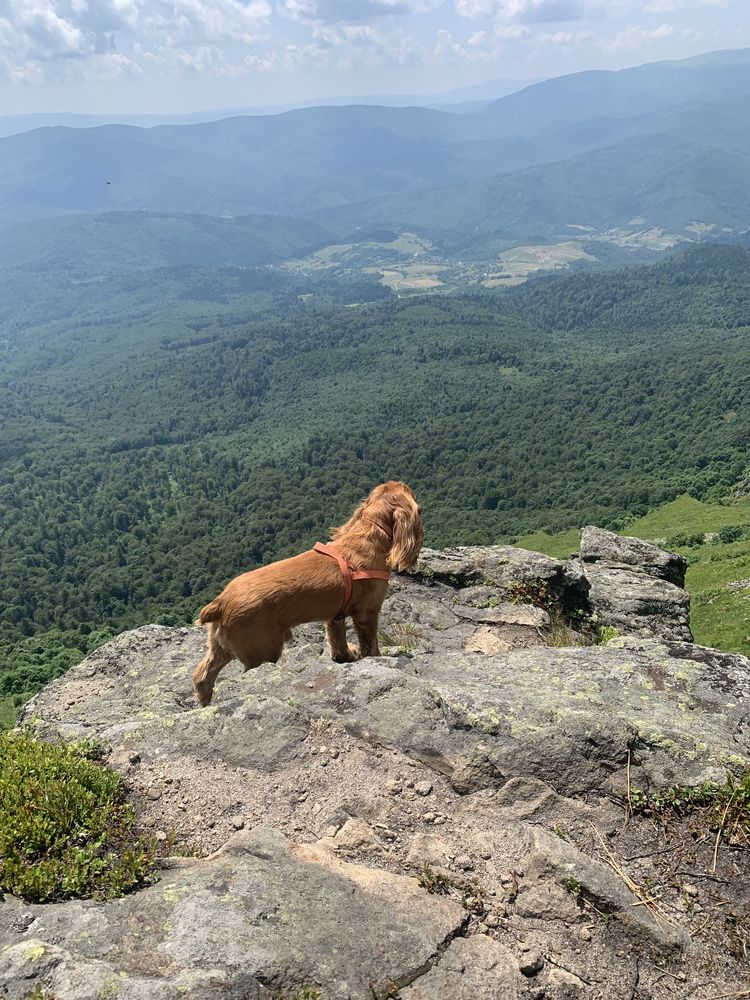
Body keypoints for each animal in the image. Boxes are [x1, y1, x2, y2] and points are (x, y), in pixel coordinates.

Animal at [194, 482, 424, 704]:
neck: (369, 532)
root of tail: (221, 602)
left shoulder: (335, 616)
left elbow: (337, 639)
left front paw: (345, 655)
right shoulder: (368, 612)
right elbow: (371, 645)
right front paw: (376, 658)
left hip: (221, 647)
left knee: (202, 675)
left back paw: (204, 703)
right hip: (262, 650)